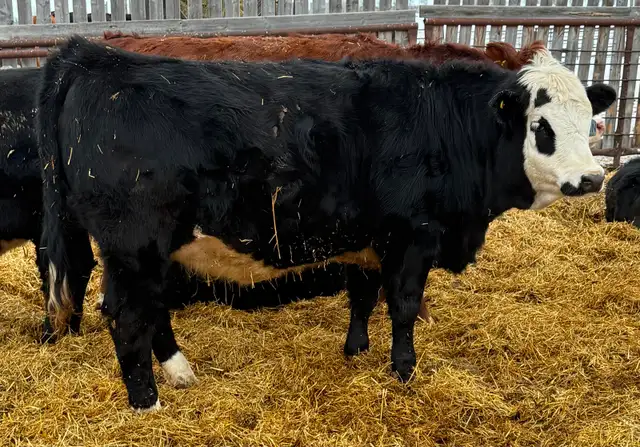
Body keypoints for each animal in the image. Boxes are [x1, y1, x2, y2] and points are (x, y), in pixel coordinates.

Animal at [36, 35, 615, 412]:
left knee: (149, 309)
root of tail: (90, 57)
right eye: (541, 126)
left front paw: (356, 350)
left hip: (150, 250)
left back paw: (179, 372)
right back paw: (146, 402)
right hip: (134, 245)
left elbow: (362, 294)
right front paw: (403, 369)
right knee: (128, 316)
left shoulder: (366, 237)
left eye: (588, 117)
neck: (445, 122)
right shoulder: (414, 235)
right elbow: (403, 305)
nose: (592, 178)